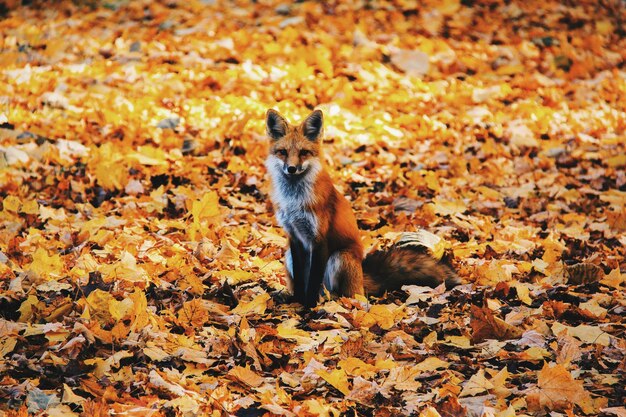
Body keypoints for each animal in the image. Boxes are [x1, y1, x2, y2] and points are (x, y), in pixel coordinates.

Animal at [264, 109, 458, 308]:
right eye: (283, 152)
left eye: (303, 152)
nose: (291, 168)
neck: (294, 201)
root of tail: (361, 281)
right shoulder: (295, 237)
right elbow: (301, 280)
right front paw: (298, 301)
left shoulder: (319, 239)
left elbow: (312, 281)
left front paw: (309, 305)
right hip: (288, 255)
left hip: (340, 257)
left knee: (340, 294)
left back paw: (331, 301)